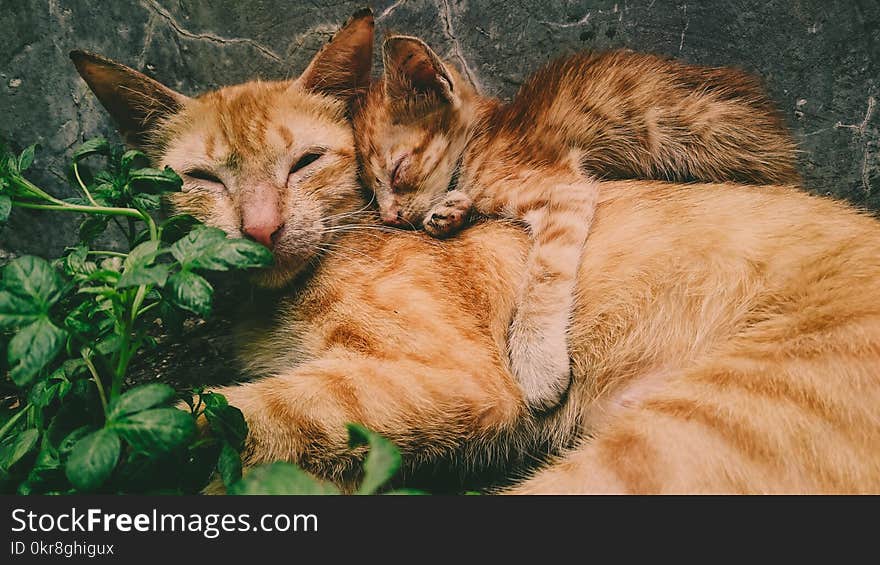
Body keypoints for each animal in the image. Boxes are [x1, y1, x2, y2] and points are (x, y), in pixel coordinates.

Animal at [354, 38, 800, 410]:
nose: (390, 216)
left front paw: (537, 363)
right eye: (371, 189)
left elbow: (542, 278)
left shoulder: (564, 192)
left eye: (398, 169)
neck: (479, 142)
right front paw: (450, 210)